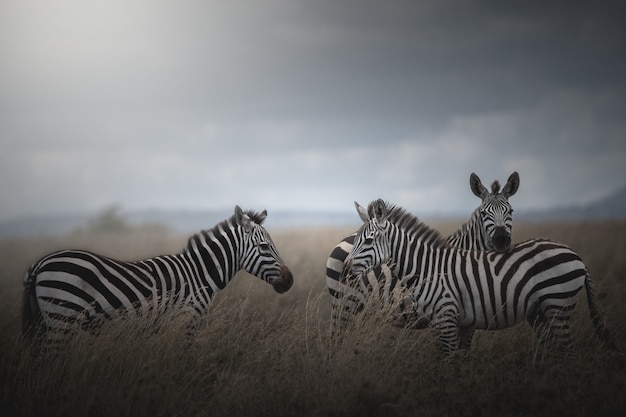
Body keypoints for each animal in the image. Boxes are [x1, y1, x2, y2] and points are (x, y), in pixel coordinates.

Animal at [20, 206, 292, 350]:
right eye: (265, 247)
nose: (289, 281)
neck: (199, 274)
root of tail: (40, 263)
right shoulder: (187, 321)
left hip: (46, 321)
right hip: (62, 317)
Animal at [338, 200, 612, 356]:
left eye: (369, 241)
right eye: (357, 239)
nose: (344, 271)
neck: (428, 269)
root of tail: (575, 255)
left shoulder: (447, 317)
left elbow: (448, 364)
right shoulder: (447, 322)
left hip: (558, 303)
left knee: (568, 351)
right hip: (541, 311)